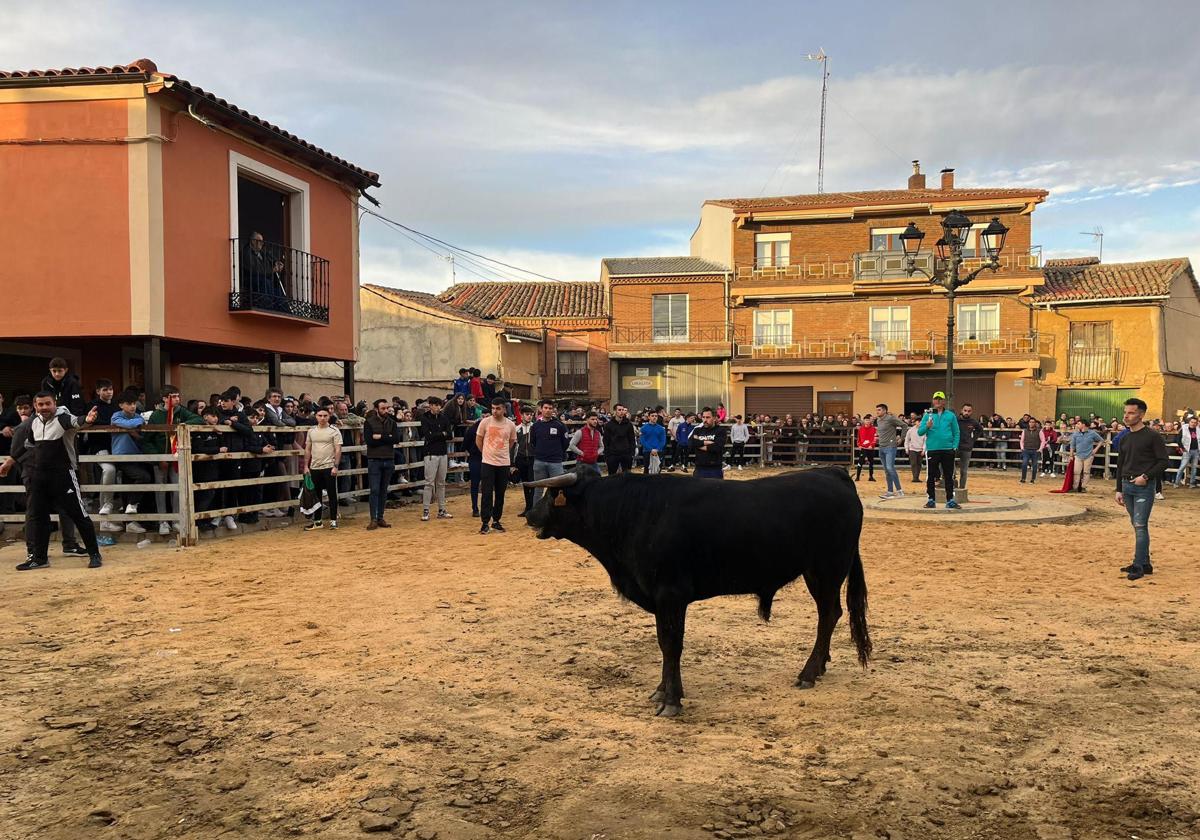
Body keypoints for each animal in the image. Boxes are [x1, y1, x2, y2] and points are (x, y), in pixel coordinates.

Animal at [520, 465, 868, 715]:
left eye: (552, 495)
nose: (529, 515)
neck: (635, 513)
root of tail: (832, 473)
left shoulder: (671, 595)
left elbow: (671, 644)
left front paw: (672, 700)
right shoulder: (661, 600)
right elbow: (663, 643)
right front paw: (661, 690)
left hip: (826, 569)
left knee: (828, 615)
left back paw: (808, 672)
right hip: (819, 572)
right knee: (830, 614)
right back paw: (819, 667)